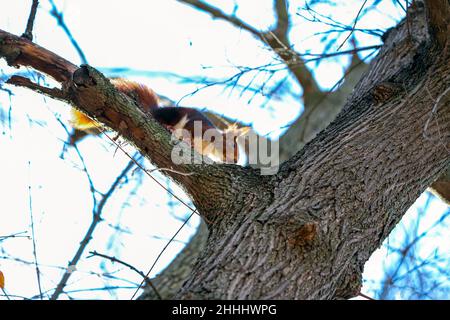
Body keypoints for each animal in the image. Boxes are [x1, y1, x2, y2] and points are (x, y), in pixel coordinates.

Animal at [69, 77, 250, 162]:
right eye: (233, 145)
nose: (235, 161)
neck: (209, 146)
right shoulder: (198, 126)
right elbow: (189, 131)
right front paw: (188, 140)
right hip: (171, 115)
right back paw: (168, 126)